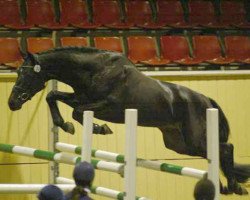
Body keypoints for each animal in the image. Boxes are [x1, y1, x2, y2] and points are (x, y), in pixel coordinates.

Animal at [7, 46, 250, 194]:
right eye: (17, 72)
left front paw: (99, 128)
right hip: (179, 144)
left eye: (25, 74)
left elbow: (77, 112)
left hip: (194, 138)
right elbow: (53, 96)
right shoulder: (81, 97)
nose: (12, 103)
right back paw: (225, 186)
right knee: (216, 152)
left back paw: (234, 186)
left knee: (226, 148)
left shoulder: (108, 107)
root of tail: (206, 100)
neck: (95, 70)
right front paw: (65, 125)